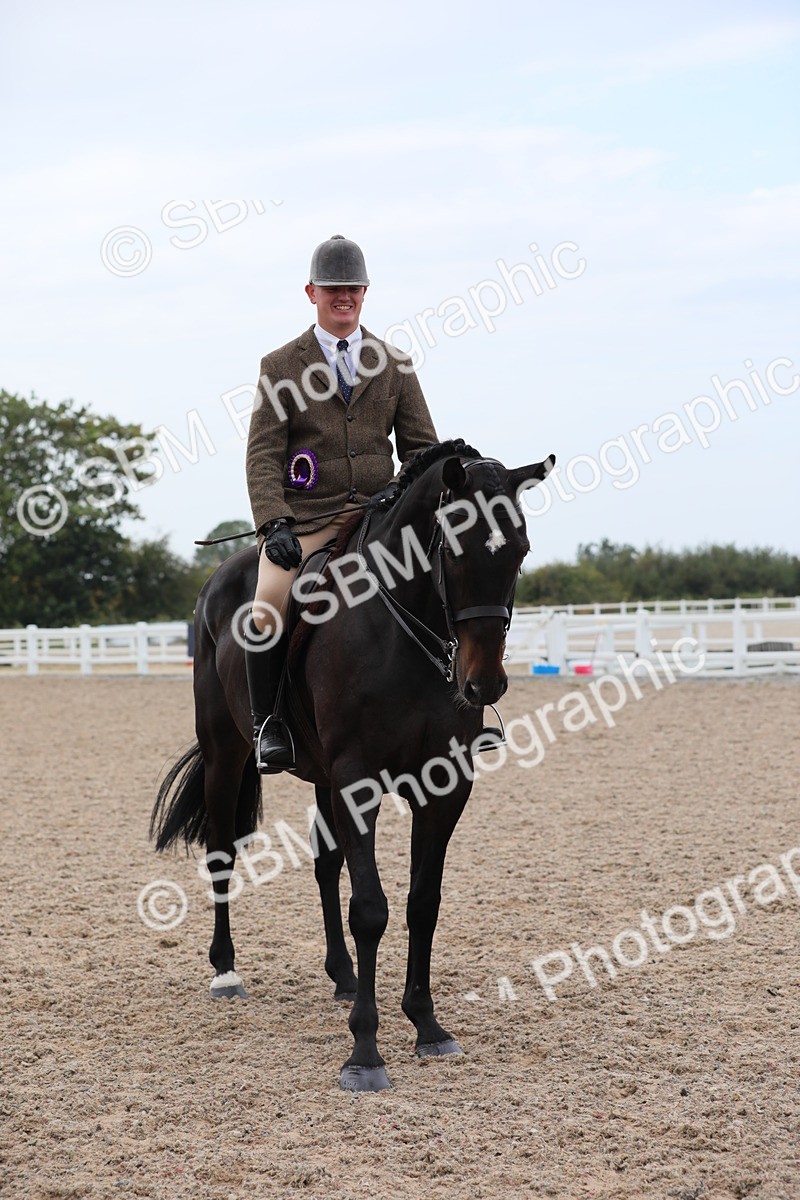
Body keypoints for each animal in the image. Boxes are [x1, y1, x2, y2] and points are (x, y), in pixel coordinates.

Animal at [150, 439, 554, 1091]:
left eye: (519, 551)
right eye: (454, 548)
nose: (483, 684)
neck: (400, 628)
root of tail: (219, 578)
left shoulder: (444, 785)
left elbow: (422, 902)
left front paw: (427, 1024)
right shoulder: (357, 781)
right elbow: (370, 908)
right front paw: (365, 1051)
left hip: (319, 776)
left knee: (325, 864)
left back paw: (341, 975)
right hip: (225, 751)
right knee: (220, 851)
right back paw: (226, 972)